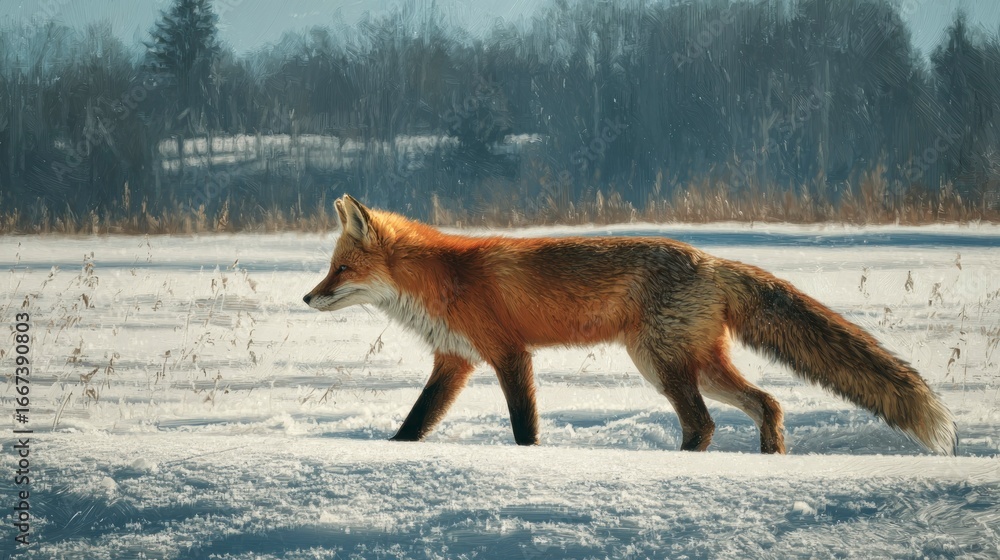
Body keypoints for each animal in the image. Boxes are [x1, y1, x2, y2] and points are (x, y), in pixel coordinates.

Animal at [303, 194, 957, 455]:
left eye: (340, 269)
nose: (308, 297)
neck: (443, 280)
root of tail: (713, 260)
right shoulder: (456, 361)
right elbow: (415, 423)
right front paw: (394, 455)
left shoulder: (509, 353)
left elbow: (524, 428)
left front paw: (527, 461)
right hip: (691, 363)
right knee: (767, 402)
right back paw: (769, 460)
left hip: (662, 364)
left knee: (704, 424)